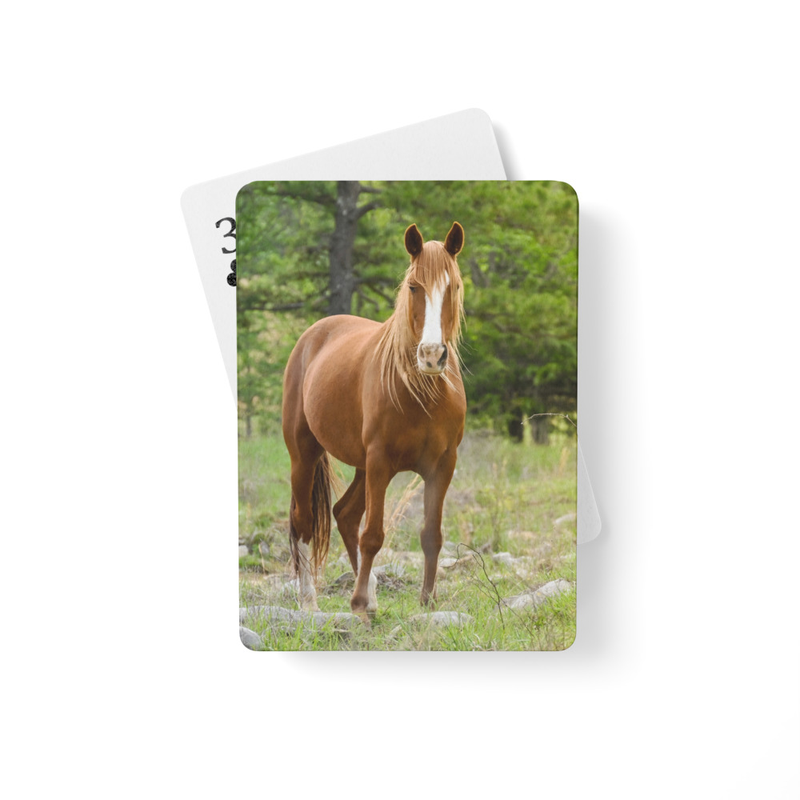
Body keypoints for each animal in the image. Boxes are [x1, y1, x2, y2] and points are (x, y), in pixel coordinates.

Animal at [281, 221, 467, 620]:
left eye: (455, 286)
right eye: (413, 286)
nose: (432, 355)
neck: (422, 391)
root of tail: (313, 334)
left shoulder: (442, 466)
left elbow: (431, 535)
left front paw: (427, 602)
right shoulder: (381, 462)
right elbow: (374, 535)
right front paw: (358, 605)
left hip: (362, 466)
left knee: (345, 515)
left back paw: (371, 593)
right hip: (305, 455)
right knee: (304, 523)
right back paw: (309, 602)